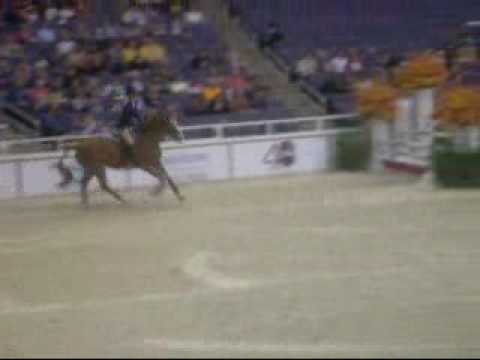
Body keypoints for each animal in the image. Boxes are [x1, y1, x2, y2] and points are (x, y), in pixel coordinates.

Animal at [54, 109, 184, 208]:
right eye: (171, 126)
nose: (180, 138)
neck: (148, 141)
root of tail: (79, 144)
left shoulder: (157, 162)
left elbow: (167, 176)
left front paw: (179, 196)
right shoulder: (145, 166)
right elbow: (161, 177)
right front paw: (155, 192)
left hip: (93, 168)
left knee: (89, 183)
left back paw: (90, 203)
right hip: (95, 166)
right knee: (99, 184)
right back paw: (120, 200)